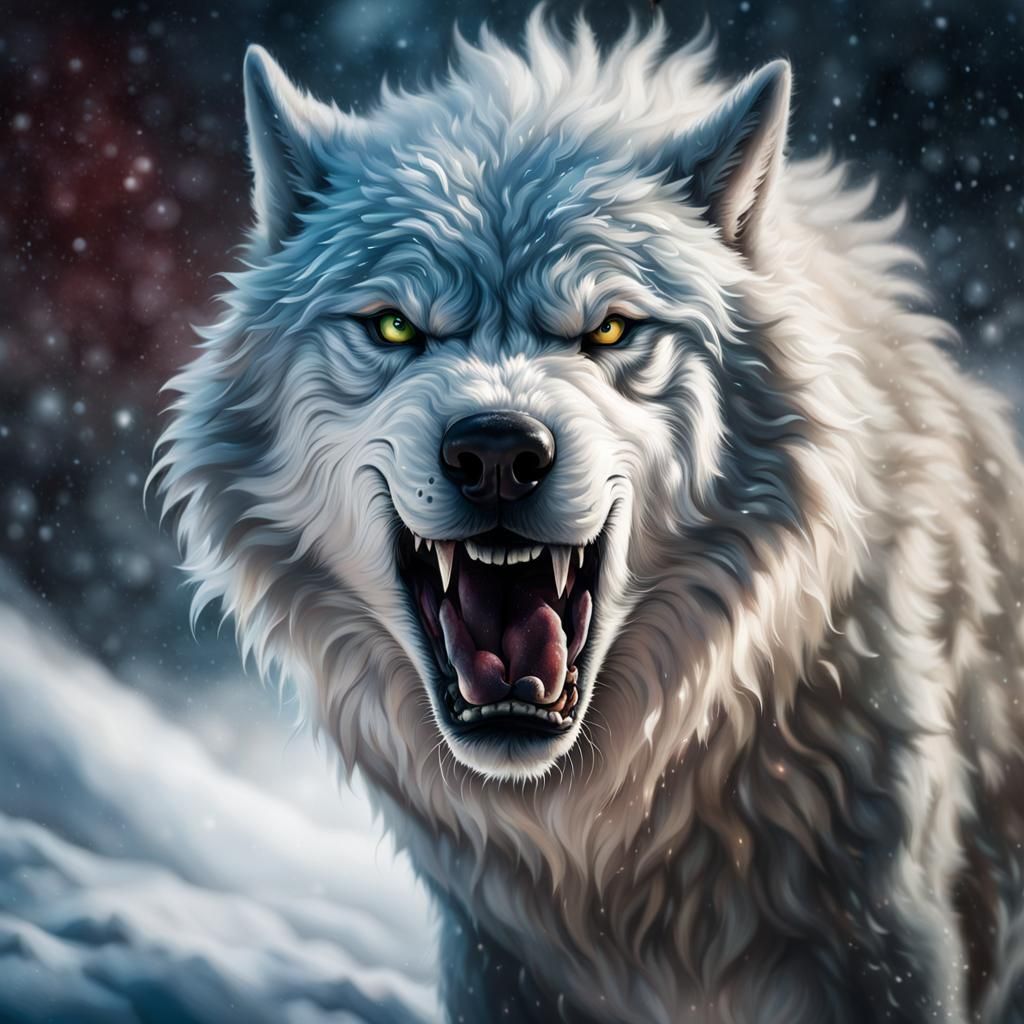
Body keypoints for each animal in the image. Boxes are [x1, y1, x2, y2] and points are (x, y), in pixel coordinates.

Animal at [152, 12, 1024, 1023]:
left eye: (608, 329)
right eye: (396, 327)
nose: (496, 453)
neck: (605, 838)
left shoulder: (885, 939)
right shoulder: (502, 960)